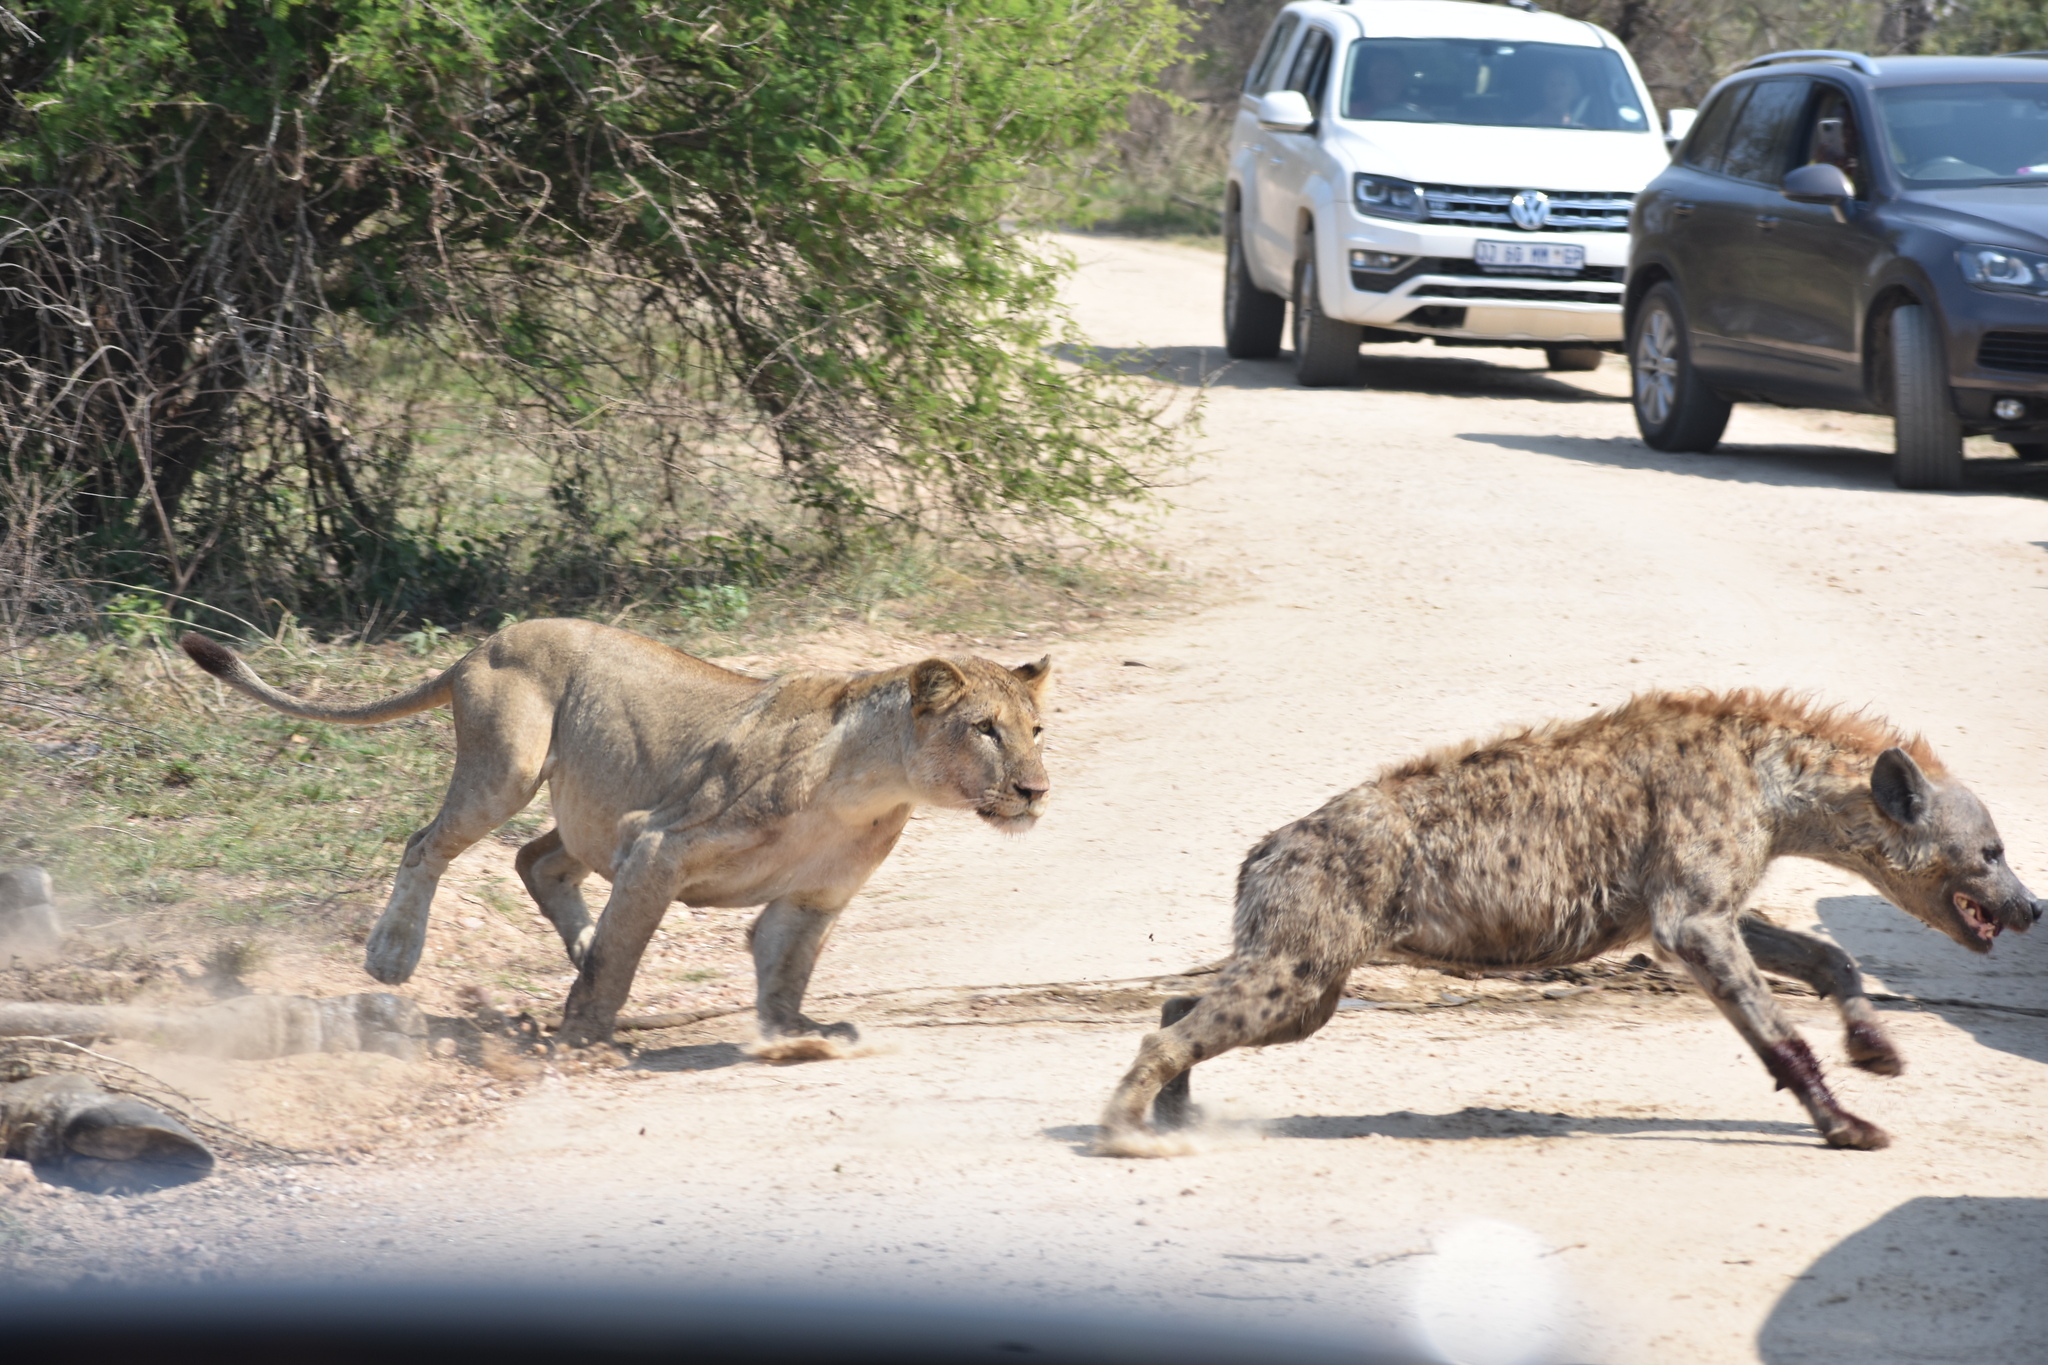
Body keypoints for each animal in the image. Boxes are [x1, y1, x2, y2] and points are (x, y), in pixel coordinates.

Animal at [179, 619, 1052, 1048]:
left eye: (1036, 729)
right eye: (984, 729)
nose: (1036, 790)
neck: (873, 786)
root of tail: (484, 641)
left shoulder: (813, 895)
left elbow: (786, 966)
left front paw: (793, 1030)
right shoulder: (659, 838)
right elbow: (624, 955)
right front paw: (588, 1033)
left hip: (593, 807)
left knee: (537, 860)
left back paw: (576, 940)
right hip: (514, 764)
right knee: (426, 843)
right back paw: (394, 953)